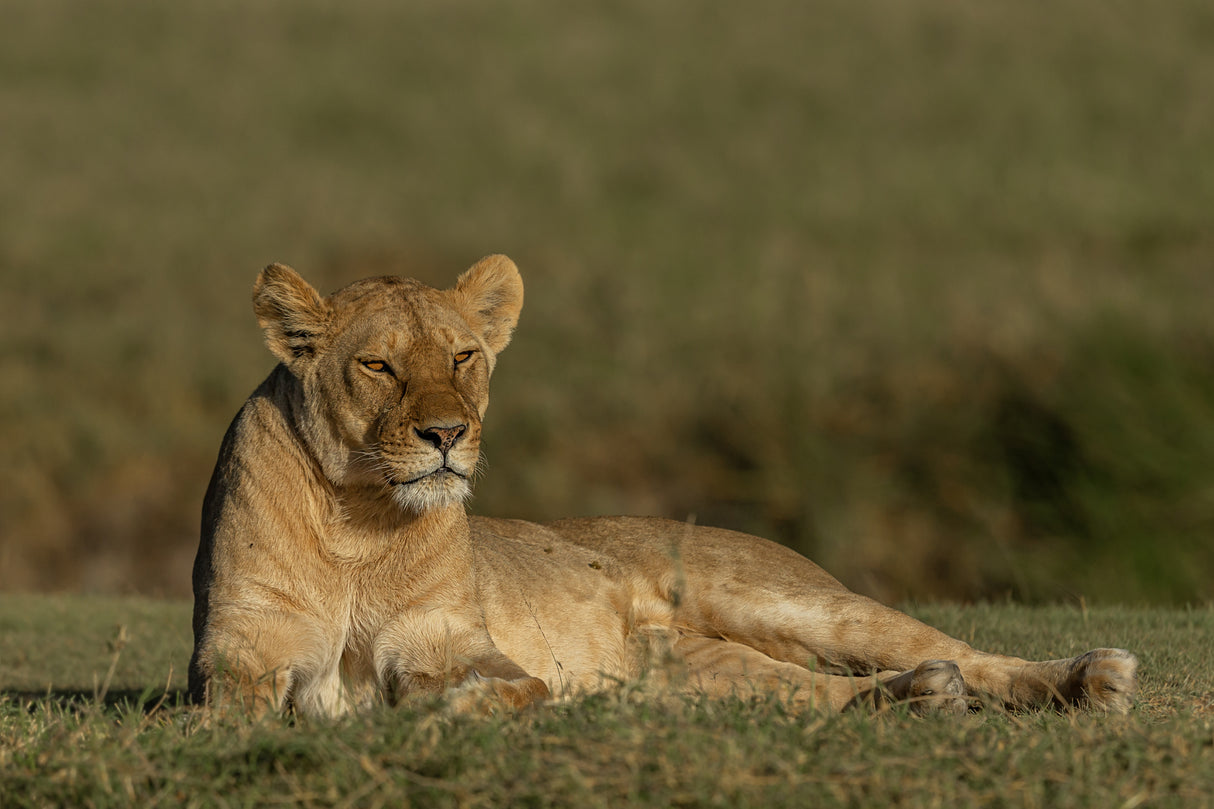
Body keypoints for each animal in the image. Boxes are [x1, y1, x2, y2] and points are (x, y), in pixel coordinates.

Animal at [189, 254, 1138, 718]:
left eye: (462, 356)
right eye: (379, 366)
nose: (447, 435)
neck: (360, 519)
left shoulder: (448, 639)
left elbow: (509, 685)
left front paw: (467, 705)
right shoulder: (241, 651)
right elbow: (229, 711)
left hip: (794, 601)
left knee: (963, 650)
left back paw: (1091, 678)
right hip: (690, 667)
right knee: (824, 695)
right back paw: (922, 697)